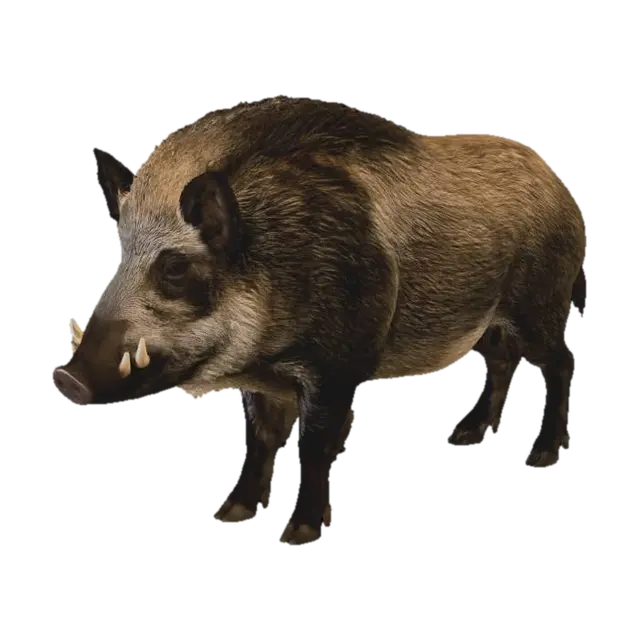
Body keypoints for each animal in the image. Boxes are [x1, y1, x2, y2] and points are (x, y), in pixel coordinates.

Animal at [54, 96, 586, 545]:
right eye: (121, 255)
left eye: (175, 267)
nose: (65, 378)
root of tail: (558, 184)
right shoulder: (267, 383)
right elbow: (260, 440)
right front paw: (229, 516)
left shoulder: (337, 366)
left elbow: (315, 444)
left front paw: (298, 536)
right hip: (490, 319)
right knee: (501, 360)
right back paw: (464, 437)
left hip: (541, 301)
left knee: (560, 361)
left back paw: (541, 458)